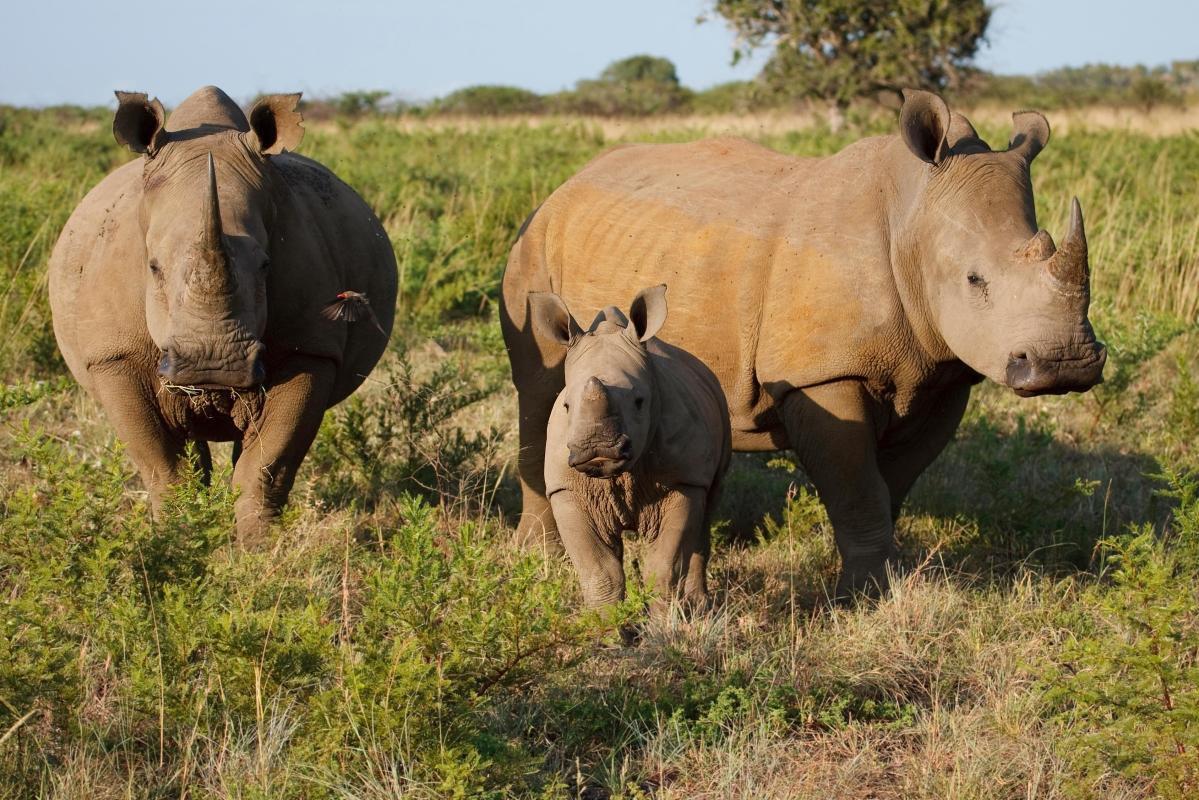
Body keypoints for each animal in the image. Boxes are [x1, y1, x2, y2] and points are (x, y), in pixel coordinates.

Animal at [532, 286, 728, 614]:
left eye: (639, 401)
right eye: (567, 405)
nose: (597, 448)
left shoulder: (684, 481)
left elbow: (663, 567)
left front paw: (662, 624)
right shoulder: (567, 489)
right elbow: (600, 573)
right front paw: (608, 626)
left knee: (707, 511)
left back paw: (699, 607)